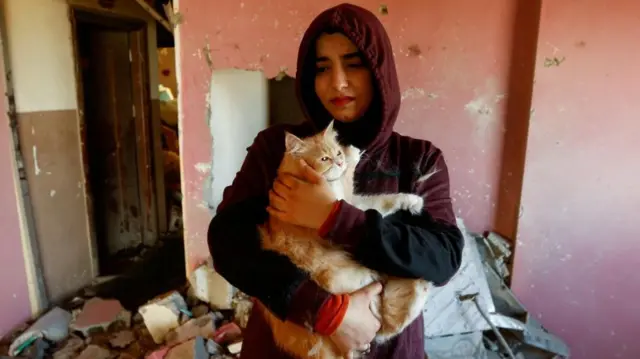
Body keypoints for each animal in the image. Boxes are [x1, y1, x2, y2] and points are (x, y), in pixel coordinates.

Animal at [256, 121, 430, 359]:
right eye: (324, 159)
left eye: (336, 153)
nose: (339, 160)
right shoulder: (346, 203)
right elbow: (375, 199)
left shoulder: (350, 200)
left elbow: (375, 197)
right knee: (385, 325)